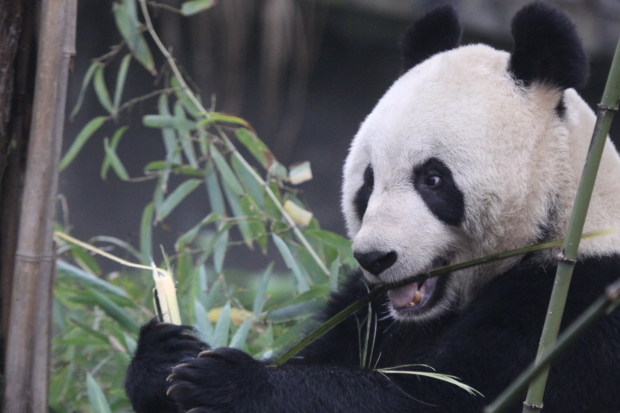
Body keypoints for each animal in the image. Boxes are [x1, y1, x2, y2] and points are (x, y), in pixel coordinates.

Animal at [123, 3, 620, 412]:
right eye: (368, 182)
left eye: (433, 179)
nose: (375, 258)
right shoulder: (367, 310)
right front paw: (165, 355)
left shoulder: (569, 306)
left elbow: (445, 398)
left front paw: (231, 383)